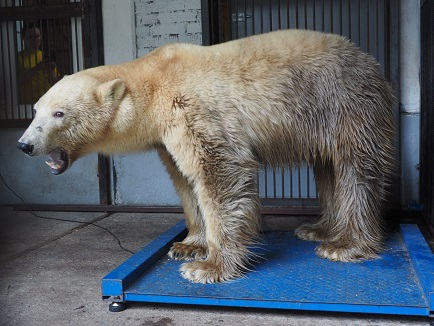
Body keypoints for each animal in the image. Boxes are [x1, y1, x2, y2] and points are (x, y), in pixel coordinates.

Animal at [18, 29, 396, 282]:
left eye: (59, 114)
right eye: (35, 110)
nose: (25, 145)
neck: (154, 79)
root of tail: (372, 64)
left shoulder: (194, 109)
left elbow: (219, 173)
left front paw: (207, 266)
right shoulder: (167, 136)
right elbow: (185, 181)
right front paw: (189, 246)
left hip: (343, 102)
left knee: (354, 168)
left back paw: (343, 245)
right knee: (327, 168)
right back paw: (318, 229)